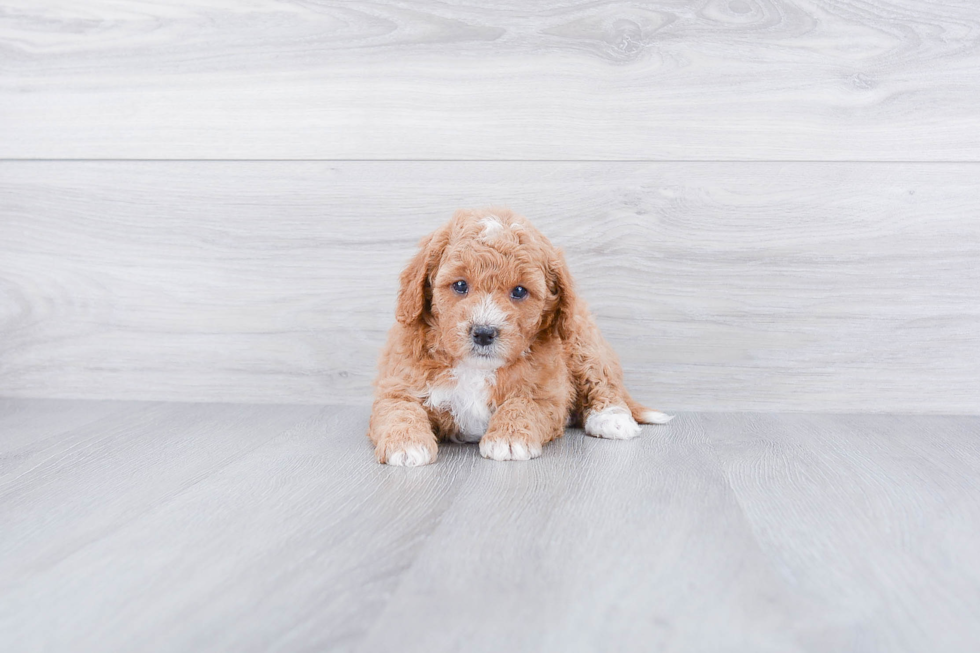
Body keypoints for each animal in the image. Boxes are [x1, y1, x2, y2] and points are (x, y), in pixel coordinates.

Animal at [370, 209, 672, 464]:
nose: (483, 333)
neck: (475, 367)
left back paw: (612, 418)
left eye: (519, 291)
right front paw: (406, 444)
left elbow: (522, 404)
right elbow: (399, 410)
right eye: (460, 285)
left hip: (583, 345)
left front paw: (509, 439)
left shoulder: (547, 396)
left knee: (603, 383)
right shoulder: (397, 386)